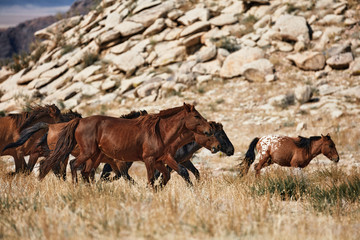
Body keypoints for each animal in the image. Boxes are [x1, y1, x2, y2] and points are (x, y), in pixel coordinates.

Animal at [38, 102, 214, 188]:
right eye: (196, 116)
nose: (209, 130)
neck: (159, 132)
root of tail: (79, 121)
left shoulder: (162, 159)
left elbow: (172, 174)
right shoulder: (149, 160)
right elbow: (151, 179)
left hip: (94, 156)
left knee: (86, 172)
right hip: (88, 153)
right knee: (74, 165)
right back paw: (76, 188)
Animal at [100, 122, 235, 184]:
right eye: (221, 134)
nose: (231, 150)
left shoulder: (184, 160)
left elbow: (195, 172)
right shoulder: (170, 161)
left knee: (115, 172)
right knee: (120, 173)